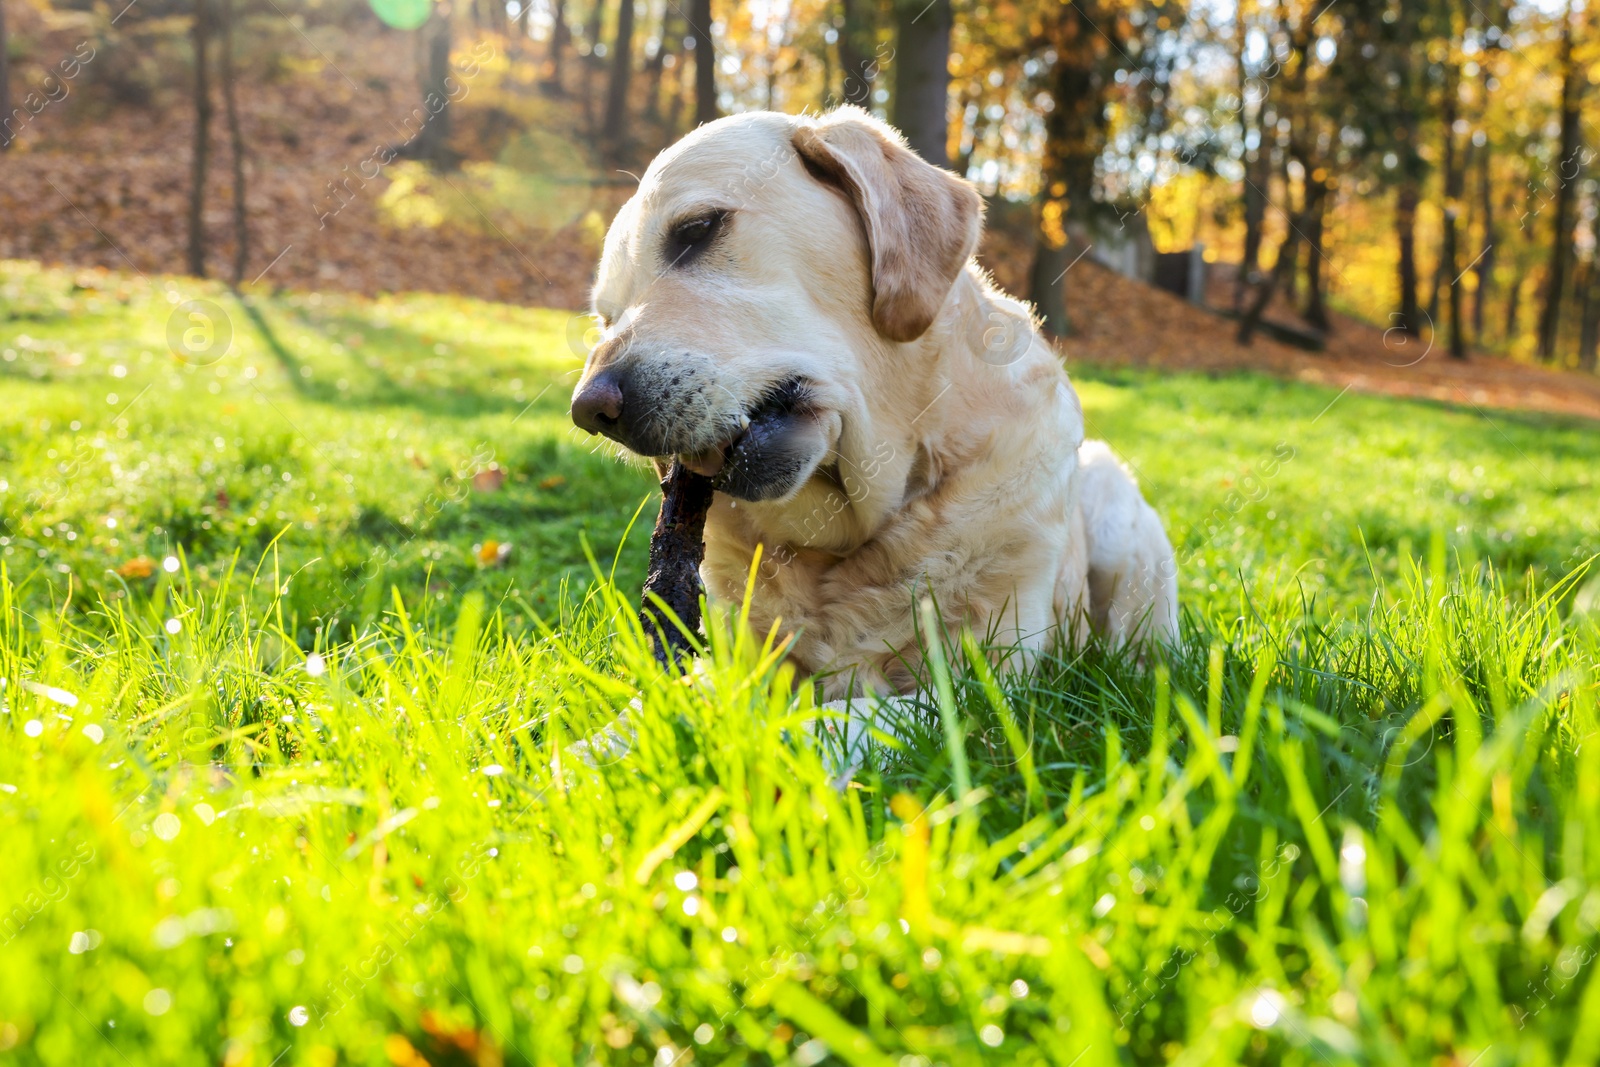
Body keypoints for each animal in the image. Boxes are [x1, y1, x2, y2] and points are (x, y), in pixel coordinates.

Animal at [572, 110, 1177, 710]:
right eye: (607, 317)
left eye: (697, 229)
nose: (590, 410)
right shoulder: (733, 661)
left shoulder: (984, 684)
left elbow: (829, 719)